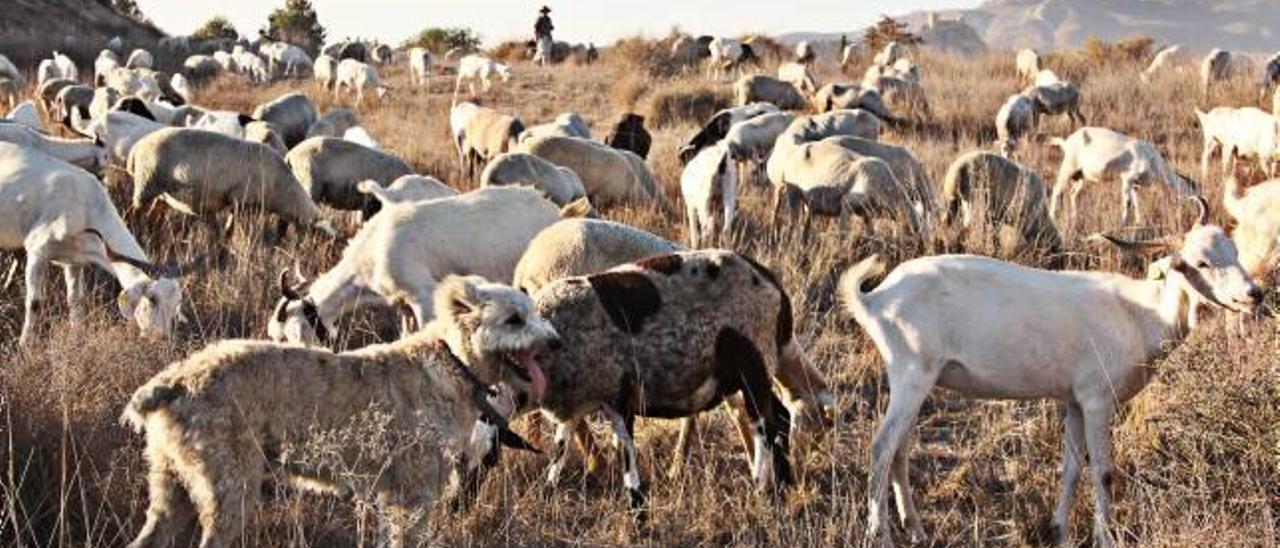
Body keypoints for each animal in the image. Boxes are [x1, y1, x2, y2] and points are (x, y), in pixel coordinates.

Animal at [0, 143, 185, 345]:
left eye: (176, 303)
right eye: (152, 299)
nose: (162, 337)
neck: (86, 208)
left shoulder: (74, 261)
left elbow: (75, 301)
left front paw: (76, 336)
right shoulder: (37, 251)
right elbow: (34, 303)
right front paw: (25, 344)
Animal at [1049, 127, 1198, 230]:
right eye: (1195, 191)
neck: (1152, 159)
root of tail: (1066, 142)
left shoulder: (1135, 185)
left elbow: (1137, 202)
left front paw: (1138, 223)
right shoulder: (1127, 178)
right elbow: (1127, 202)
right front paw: (1122, 224)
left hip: (1080, 176)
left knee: (1073, 194)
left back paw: (1075, 219)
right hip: (1069, 167)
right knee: (1057, 190)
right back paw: (1052, 217)